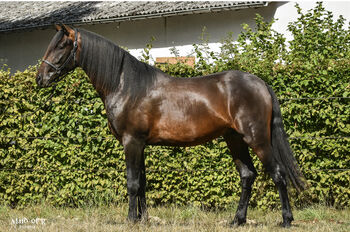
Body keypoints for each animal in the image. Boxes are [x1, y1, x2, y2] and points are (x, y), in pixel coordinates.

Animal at [34, 24, 304, 227]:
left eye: (61, 45)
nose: (40, 78)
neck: (126, 85)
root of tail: (261, 83)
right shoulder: (140, 144)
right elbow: (142, 183)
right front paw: (142, 220)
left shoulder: (132, 141)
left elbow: (132, 182)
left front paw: (131, 220)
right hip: (234, 139)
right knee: (247, 175)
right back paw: (237, 220)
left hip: (257, 139)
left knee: (278, 174)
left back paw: (286, 220)